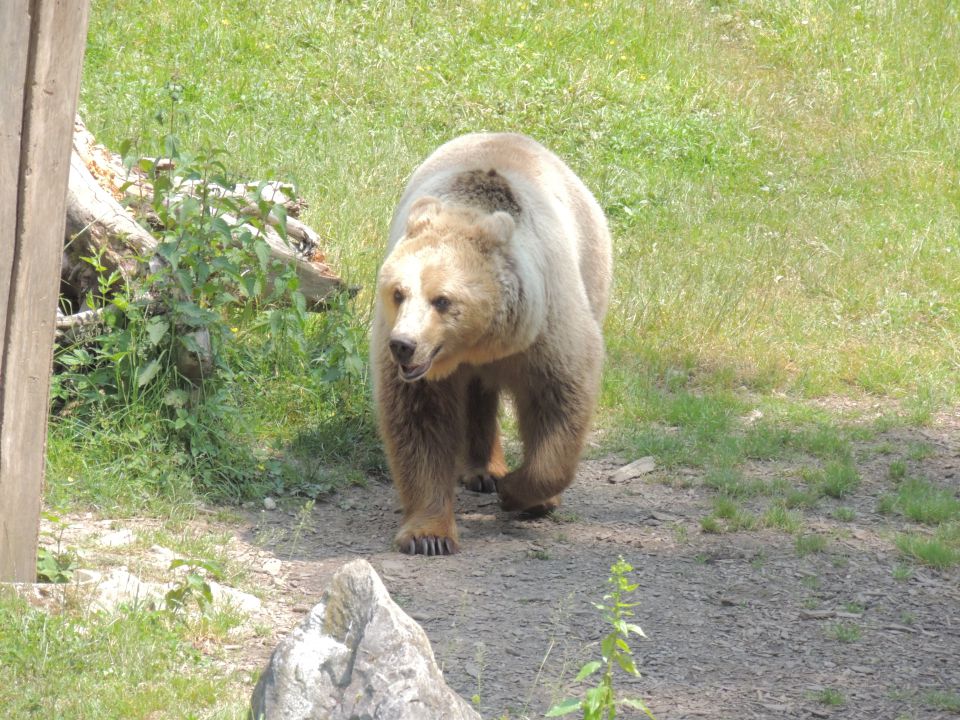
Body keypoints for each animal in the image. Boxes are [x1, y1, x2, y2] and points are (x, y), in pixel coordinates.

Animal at [372, 132, 612, 556]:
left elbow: (560, 400)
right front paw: (429, 535)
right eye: (398, 292)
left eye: (442, 300)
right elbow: (419, 423)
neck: (480, 342)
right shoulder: (418, 372)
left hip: (592, 268)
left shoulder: (546, 329)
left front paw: (523, 493)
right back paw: (483, 469)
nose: (403, 344)